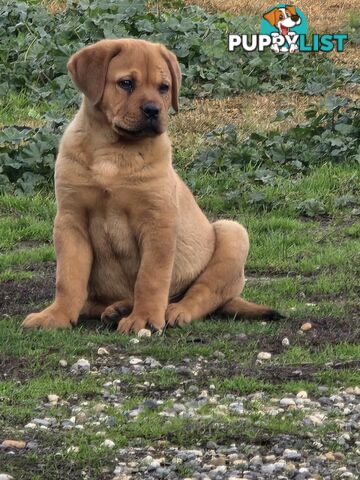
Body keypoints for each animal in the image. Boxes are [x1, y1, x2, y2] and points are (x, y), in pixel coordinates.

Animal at [21, 38, 282, 334]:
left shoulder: (158, 222)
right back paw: (117, 308)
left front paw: (145, 318)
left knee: (202, 293)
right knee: (93, 301)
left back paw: (174, 310)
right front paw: (57, 315)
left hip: (232, 233)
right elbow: (68, 278)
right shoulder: (70, 220)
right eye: (126, 83)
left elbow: (151, 277)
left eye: (164, 87)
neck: (114, 152)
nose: (153, 110)